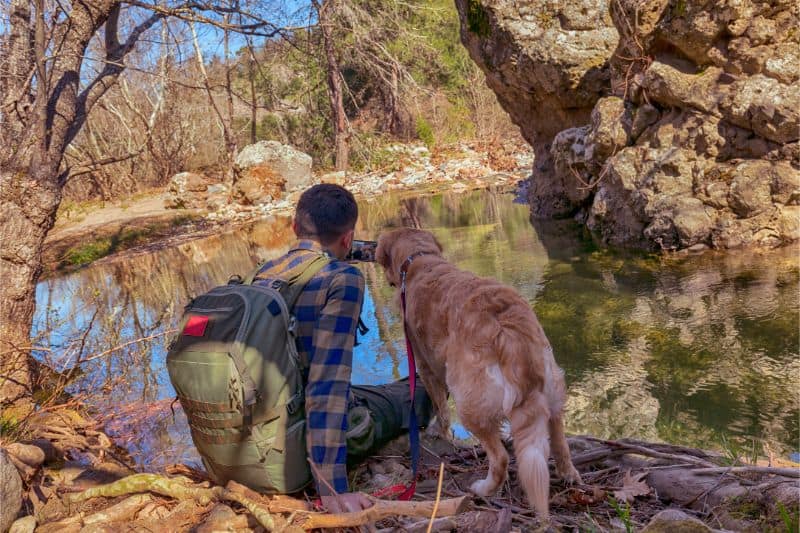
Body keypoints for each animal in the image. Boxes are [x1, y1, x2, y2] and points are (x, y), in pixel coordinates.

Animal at [376, 228, 580, 516]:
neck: (420, 260)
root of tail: (506, 329)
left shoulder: (426, 366)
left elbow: (440, 406)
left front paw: (440, 432)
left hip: (470, 402)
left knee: (501, 458)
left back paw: (484, 489)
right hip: (552, 389)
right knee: (560, 440)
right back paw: (568, 473)